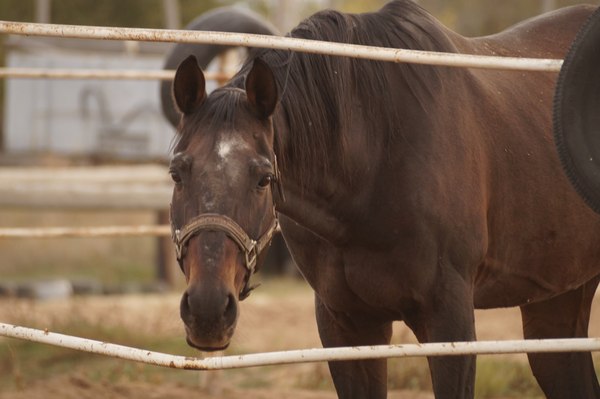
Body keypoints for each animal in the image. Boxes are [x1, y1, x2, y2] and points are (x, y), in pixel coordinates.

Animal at [166, 1, 600, 398]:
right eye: (176, 173)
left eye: (264, 178)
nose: (207, 309)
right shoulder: (347, 327)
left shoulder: (450, 323)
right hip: (556, 303)